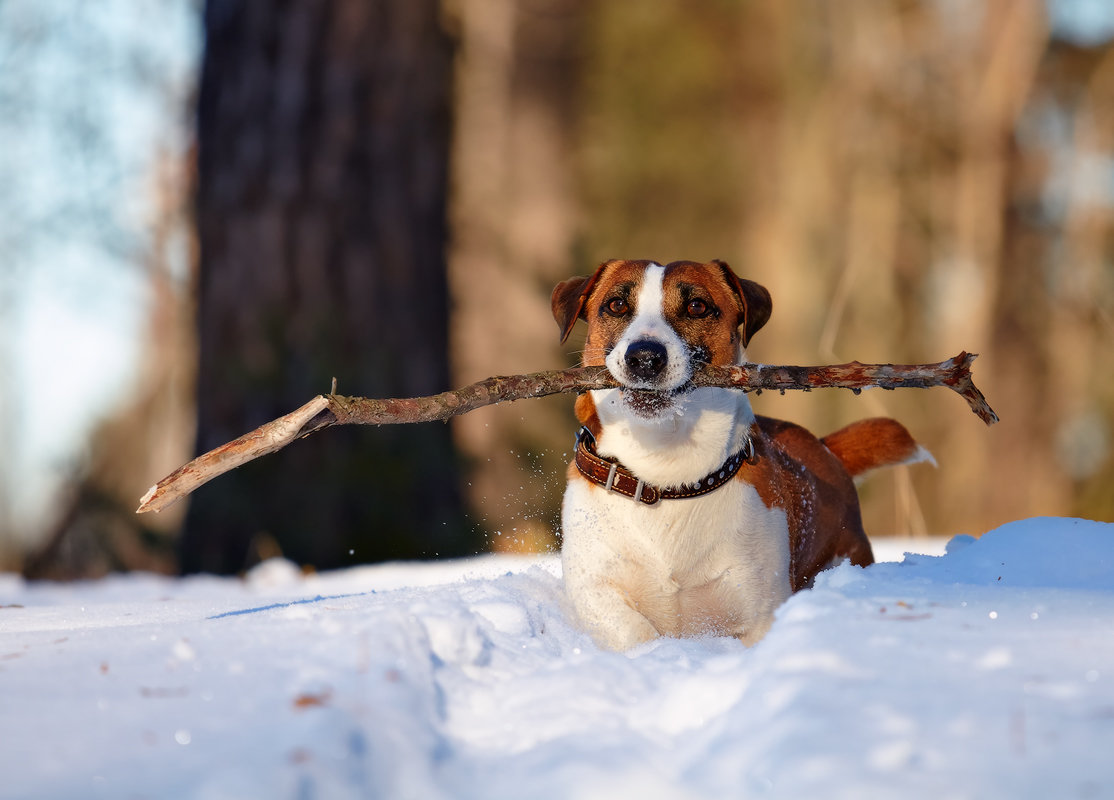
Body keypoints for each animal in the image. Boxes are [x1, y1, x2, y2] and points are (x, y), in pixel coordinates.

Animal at [550, 259, 931, 655]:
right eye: (616, 305)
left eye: (697, 306)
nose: (644, 357)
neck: (666, 474)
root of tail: (825, 447)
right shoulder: (598, 588)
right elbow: (631, 631)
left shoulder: (756, 609)